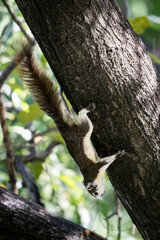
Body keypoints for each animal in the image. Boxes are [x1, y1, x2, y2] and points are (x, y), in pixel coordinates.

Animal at [16, 42, 124, 200]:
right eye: (95, 194)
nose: (102, 197)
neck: (90, 176)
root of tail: (64, 127)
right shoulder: (96, 168)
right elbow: (106, 161)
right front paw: (118, 154)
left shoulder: (95, 168)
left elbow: (105, 162)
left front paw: (117, 154)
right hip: (77, 122)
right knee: (73, 112)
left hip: (84, 127)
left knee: (80, 115)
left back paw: (79, 104)